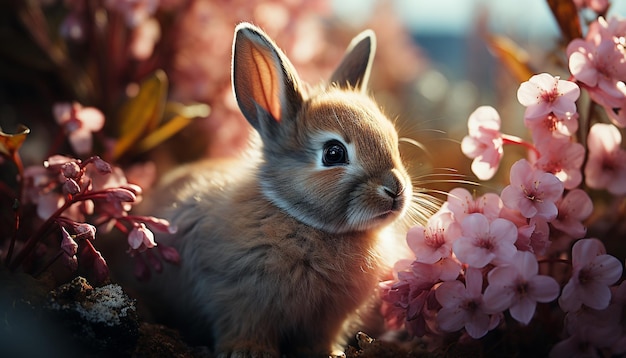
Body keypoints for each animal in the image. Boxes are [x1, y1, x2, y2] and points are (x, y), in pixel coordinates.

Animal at [142, 23, 414, 358]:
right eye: (333, 153)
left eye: (393, 140)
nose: (395, 190)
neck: (299, 217)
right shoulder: (238, 297)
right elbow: (244, 325)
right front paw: (249, 352)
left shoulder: (326, 319)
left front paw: (328, 353)